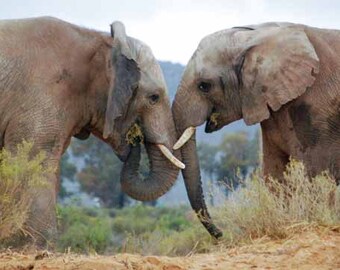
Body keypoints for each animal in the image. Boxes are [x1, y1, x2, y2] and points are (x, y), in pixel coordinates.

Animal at [0, 16, 183, 245]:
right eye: (154, 98)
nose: (134, 138)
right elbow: (33, 159)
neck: (98, 40)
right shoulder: (41, 96)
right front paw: (39, 245)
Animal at [173, 22, 340, 238]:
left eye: (204, 86)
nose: (221, 234)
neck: (255, 36)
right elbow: (274, 172)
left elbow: (316, 175)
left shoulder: (318, 109)